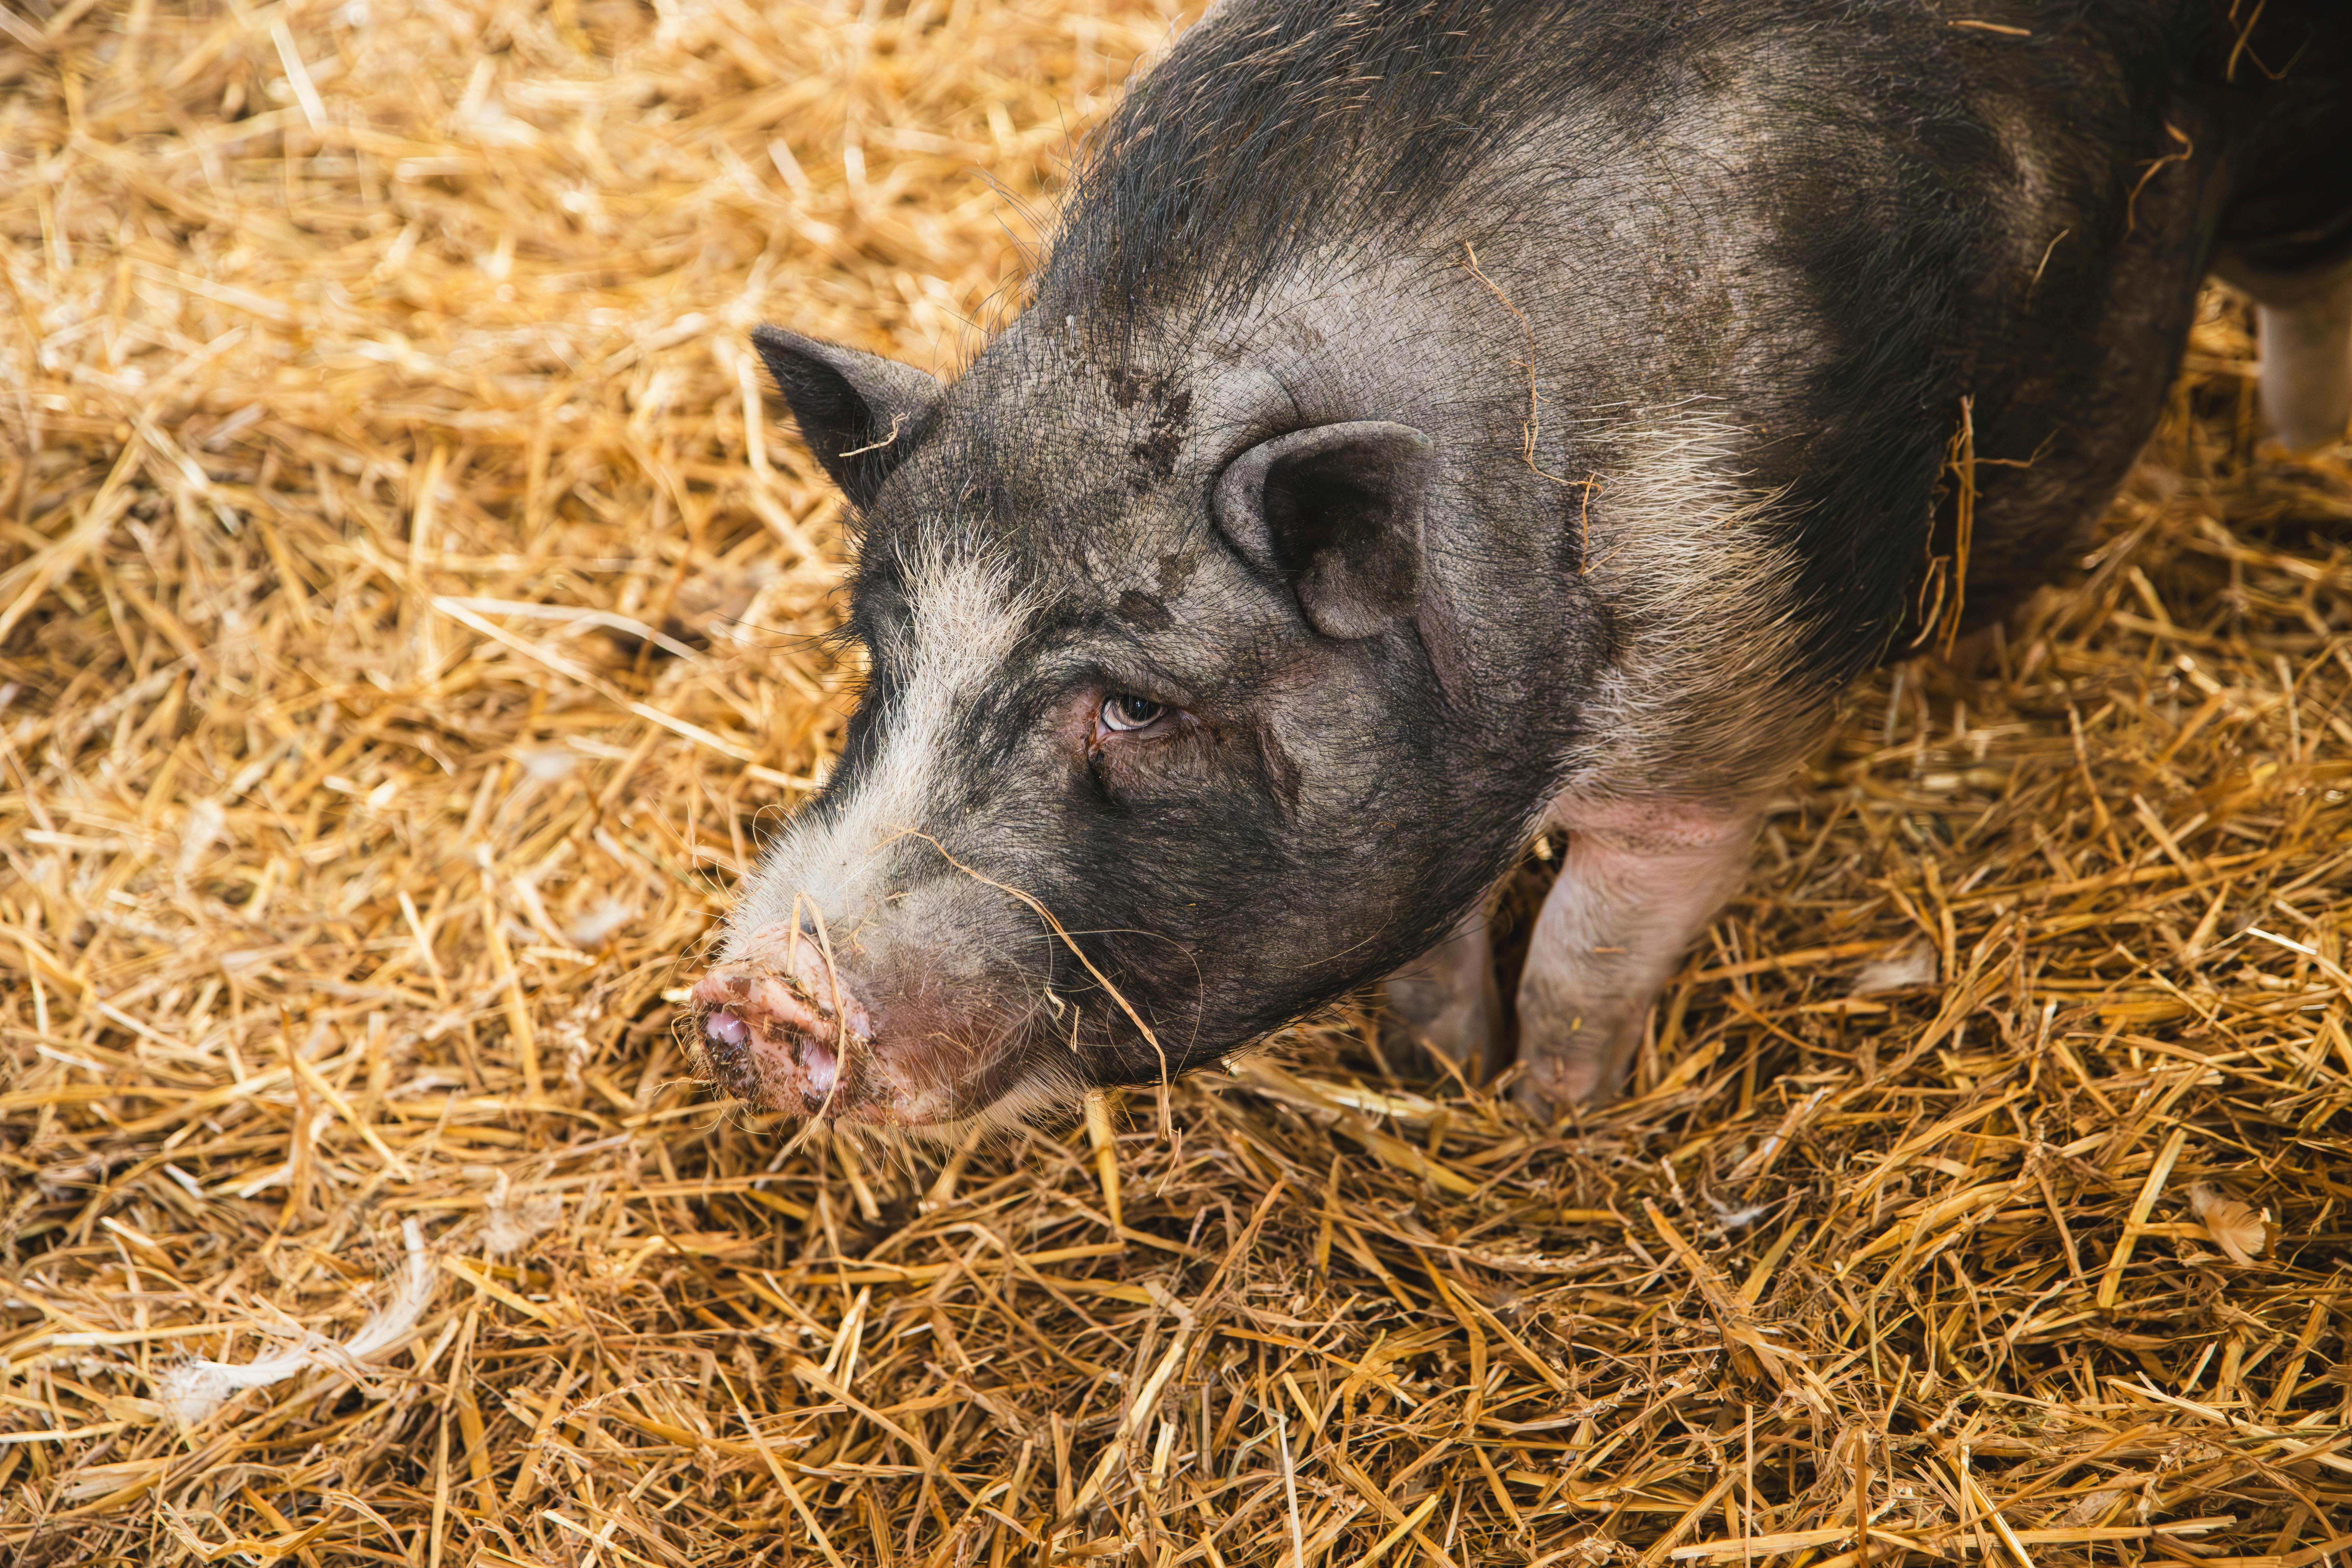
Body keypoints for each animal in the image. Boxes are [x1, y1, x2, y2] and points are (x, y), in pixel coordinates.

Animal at [687, 0, 2352, 1133]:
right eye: (882, 654)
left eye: (1137, 706)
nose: (757, 994)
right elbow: (1432, 960)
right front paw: (1440, 1071)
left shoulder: (1713, 731)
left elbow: (1580, 958)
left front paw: (1557, 1122)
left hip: (2292, 151)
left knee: (2305, 290)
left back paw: (2303, 468)